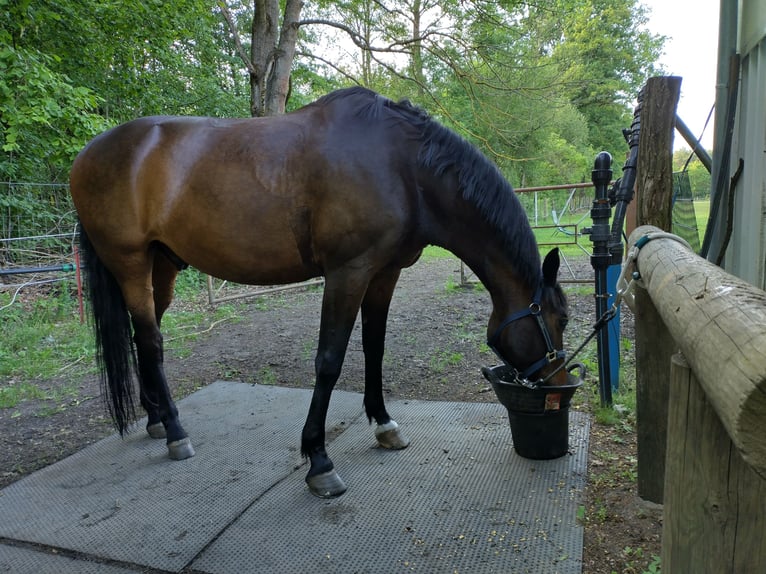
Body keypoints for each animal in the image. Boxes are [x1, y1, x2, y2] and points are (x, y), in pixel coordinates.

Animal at [70, 85, 568, 500]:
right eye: (559, 319)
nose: (558, 389)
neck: (402, 166)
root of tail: (88, 154)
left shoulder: (383, 273)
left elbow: (374, 347)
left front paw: (384, 424)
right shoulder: (347, 273)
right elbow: (329, 361)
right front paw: (319, 461)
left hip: (162, 268)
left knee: (141, 340)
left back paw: (155, 419)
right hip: (130, 264)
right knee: (150, 342)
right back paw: (175, 432)